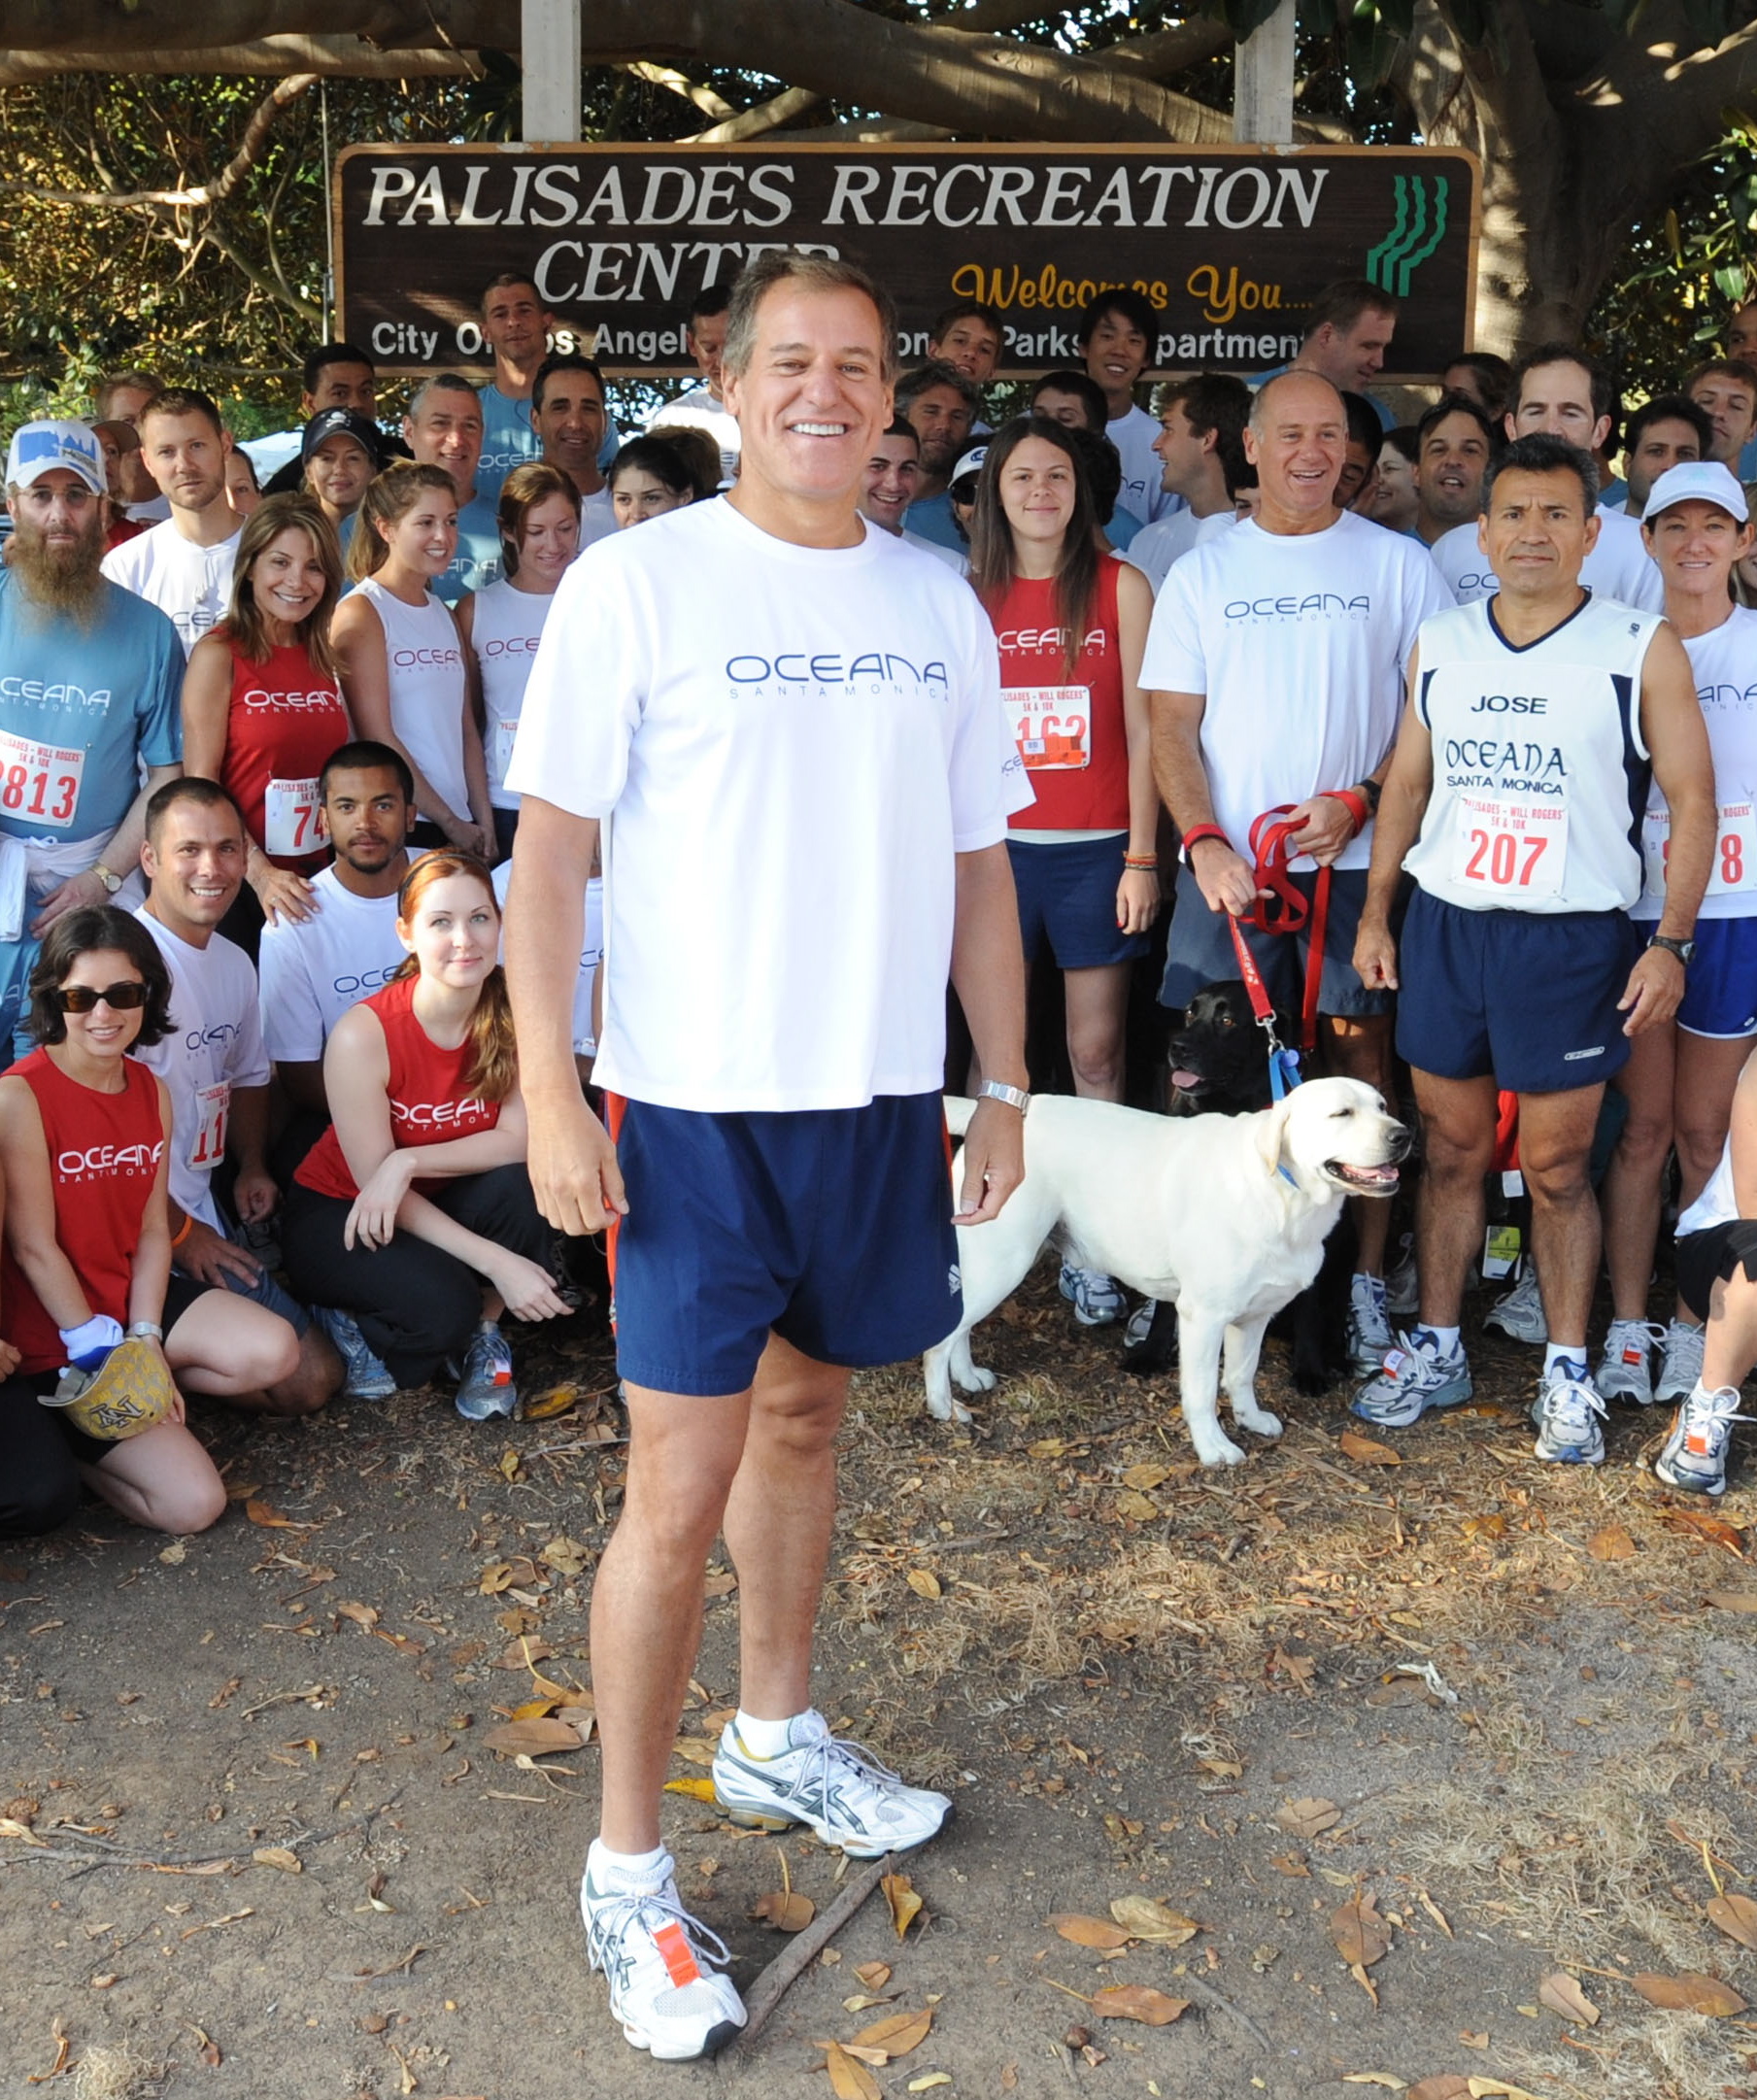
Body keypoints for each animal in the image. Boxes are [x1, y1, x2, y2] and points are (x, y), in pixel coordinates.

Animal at [923, 1083, 1402, 1461]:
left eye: (1382, 1105)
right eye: (1341, 1113)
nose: (1404, 1134)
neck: (1283, 1193)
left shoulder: (1254, 1316)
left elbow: (1241, 1376)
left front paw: (1250, 1419)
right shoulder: (1203, 1316)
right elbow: (1203, 1391)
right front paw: (1213, 1447)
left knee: (960, 1325)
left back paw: (968, 1378)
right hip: (1005, 1257)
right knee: (939, 1340)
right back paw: (944, 1407)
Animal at [1125, 978, 1360, 1394]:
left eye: (1228, 1020)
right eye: (1190, 1012)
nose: (1177, 1047)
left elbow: (1311, 1310)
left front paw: (1310, 1370)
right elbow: (1166, 1308)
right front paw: (1152, 1352)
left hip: (1347, 1247)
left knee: (1332, 1311)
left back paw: (1334, 1356)